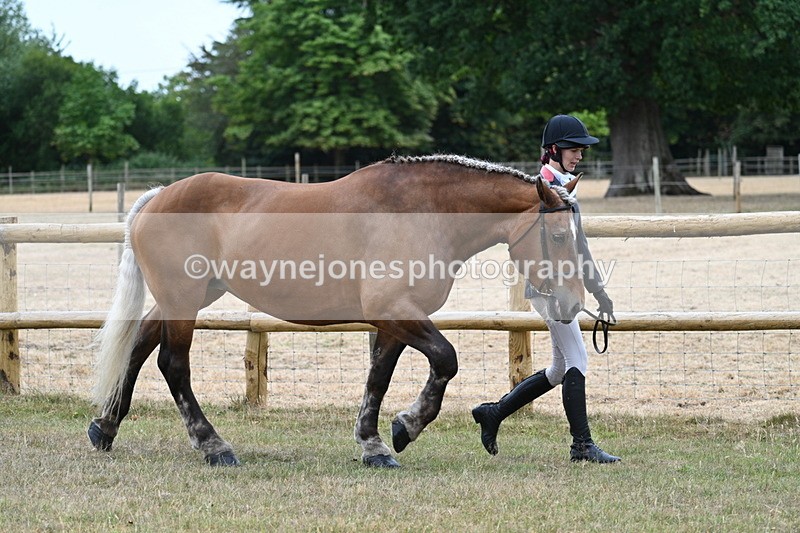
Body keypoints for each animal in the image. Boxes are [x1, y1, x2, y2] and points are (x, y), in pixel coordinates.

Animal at [88, 154, 585, 468]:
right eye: (560, 236)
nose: (574, 304)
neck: (422, 211)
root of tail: (157, 197)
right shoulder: (395, 310)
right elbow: (446, 359)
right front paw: (407, 426)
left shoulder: (395, 319)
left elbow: (378, 378)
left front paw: (376, 445)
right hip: (183, 300)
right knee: (173, 365)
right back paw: (214, 446)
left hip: (187, 297)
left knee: (137, 346)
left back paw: (105, 427)